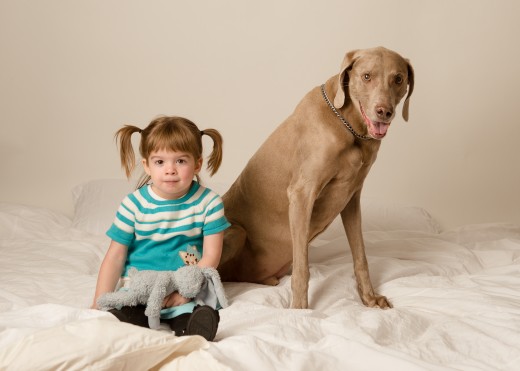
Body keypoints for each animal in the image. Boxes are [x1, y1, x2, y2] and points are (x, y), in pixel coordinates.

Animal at [218, 46, 414, 310]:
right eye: (366, 76)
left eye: (398, 79)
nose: (384, 112)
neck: (348, 126)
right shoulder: (302, 195)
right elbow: (302, 268)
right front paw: (300, 310)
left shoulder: (352, 199)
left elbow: (360, 255)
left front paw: (369, 297)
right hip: (236, 232)